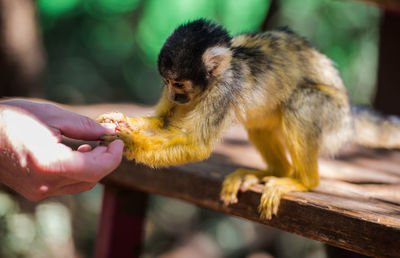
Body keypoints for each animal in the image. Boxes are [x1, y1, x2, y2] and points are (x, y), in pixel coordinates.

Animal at [98, 18, 400, 220]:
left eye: (179, 84)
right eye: (167, 82)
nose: (173, 95)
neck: (215, 78)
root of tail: (349, 116)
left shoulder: (224, 90)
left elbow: (196, 145)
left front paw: (128, 141)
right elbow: (164, 122)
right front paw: (122, 121)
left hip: (333, 118)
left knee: (300, 102)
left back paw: (303, 181)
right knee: (259, 123)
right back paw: (274, 171)